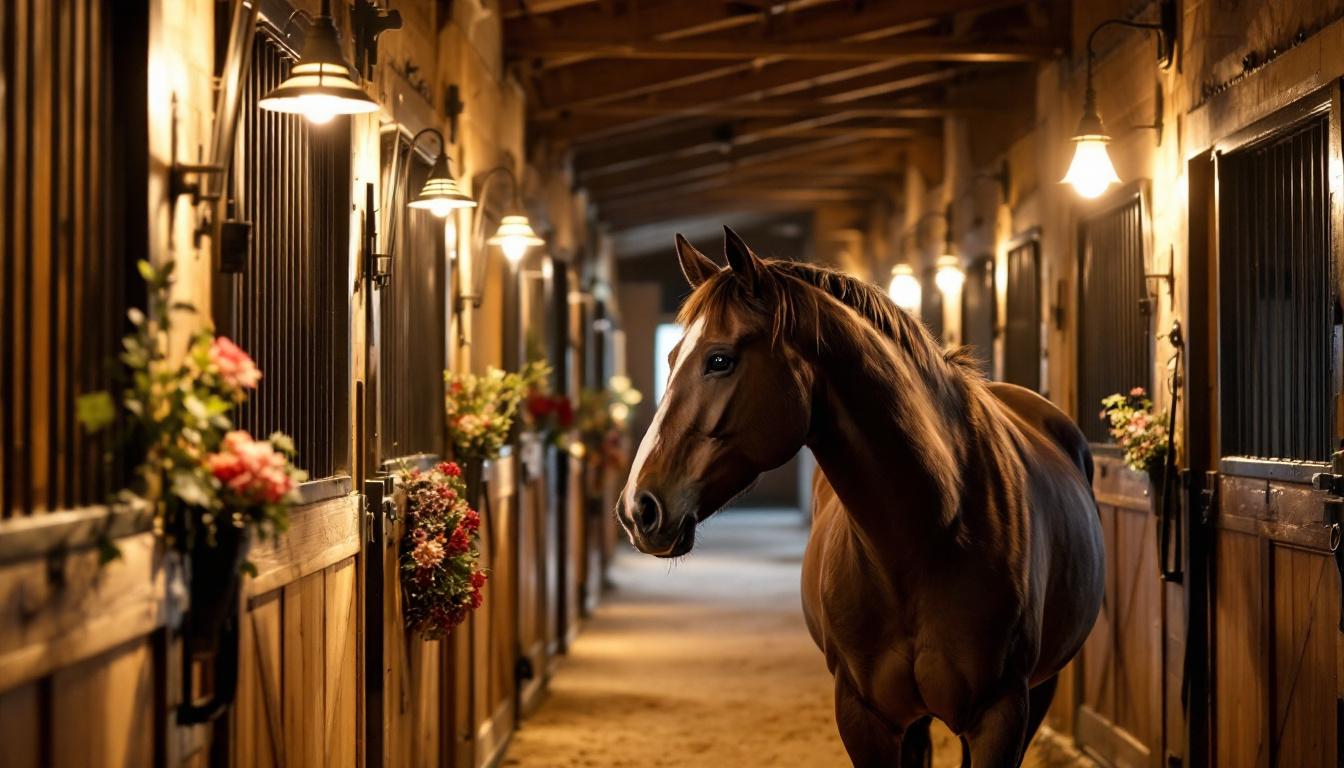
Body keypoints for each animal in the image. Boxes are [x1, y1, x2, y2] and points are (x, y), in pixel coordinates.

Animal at [616, 227, 1104, 767]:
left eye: (719, 360)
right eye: (670, 358)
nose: (638, 508)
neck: (927, 538)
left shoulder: (1002, 714)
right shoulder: (864, 715)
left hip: (1040, 688)